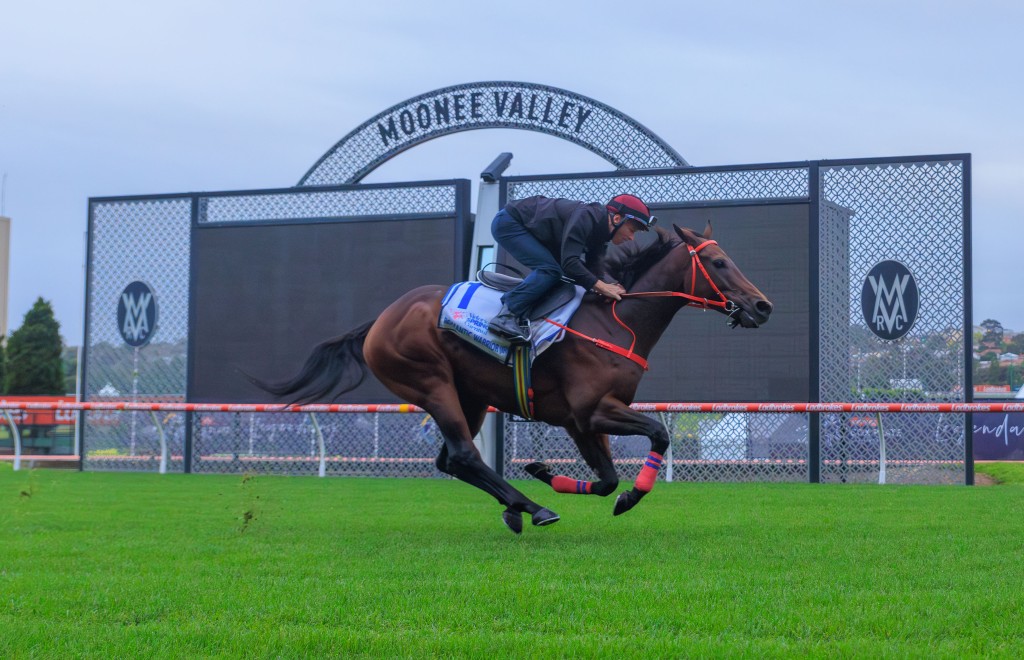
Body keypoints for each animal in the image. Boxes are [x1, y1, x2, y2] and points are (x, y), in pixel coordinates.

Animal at [256, 224, 770, 532]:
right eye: (719, 263)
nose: (762, 305)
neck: (616, 321)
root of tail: (380, 320)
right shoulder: (593, 410)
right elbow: (658, 434)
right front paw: (630, 496)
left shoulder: (579, 421)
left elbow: (605, 479)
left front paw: (547, 472)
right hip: (431, 384)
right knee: (464, 455)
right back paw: (531, 506)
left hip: (469, 397)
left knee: (451, 460)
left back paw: (516, 506)